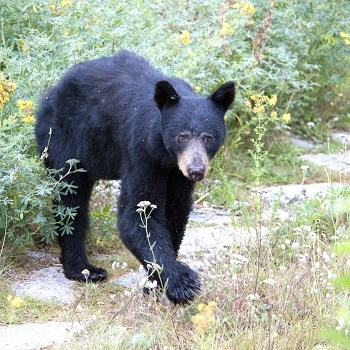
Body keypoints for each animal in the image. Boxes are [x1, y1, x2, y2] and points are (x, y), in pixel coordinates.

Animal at [34, 49, 235, 304]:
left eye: (208, 137)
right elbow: (137, 213)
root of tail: (51, 91)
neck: (165, 155)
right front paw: (182, 283)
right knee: (71, 199)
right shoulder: (141, 150)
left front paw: (154, 284)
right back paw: (83, 269)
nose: (196, 170)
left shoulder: (176, 173)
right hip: (63, 139)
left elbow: (176, 212)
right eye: (182, 136)